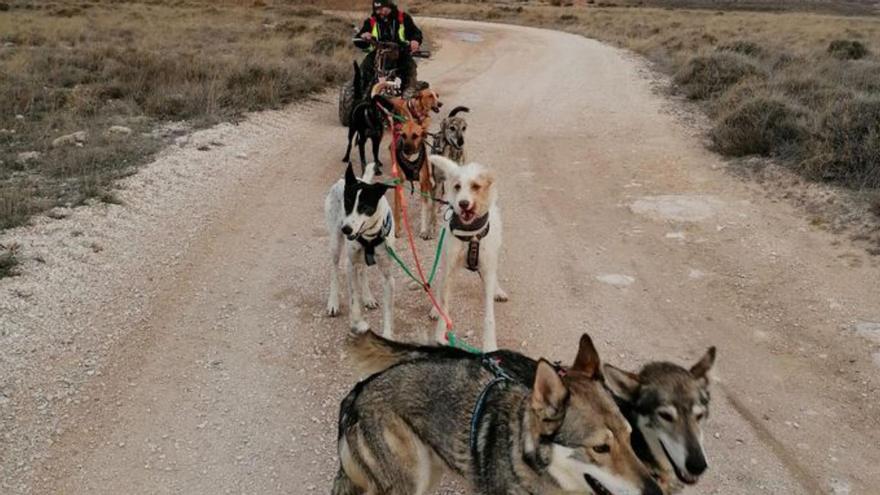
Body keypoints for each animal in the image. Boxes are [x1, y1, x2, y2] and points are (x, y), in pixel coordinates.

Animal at [326, 163, 396, 338]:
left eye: (364, 207)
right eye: (347, 203)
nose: (346, 229)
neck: (369, 236)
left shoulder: (388, 278)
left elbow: (388, 312)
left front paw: (387, 335)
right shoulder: (350, 266)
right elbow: (353, 300)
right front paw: (356, 322)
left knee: (363, 270)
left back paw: (368, 297)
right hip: (335, 244)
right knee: (334, 270)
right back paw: (333, 302)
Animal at [428, 155, 506, 352]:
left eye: (476, 186)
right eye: (457, 186)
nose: (462, 203)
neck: (471, 234)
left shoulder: (487, 266)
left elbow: (489, 316)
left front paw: (490, 345)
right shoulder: (450, 269)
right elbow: (445, 305)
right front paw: (440, 334)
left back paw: (498, 290)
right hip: (445, 258)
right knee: (440, 286)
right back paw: (435, 308)